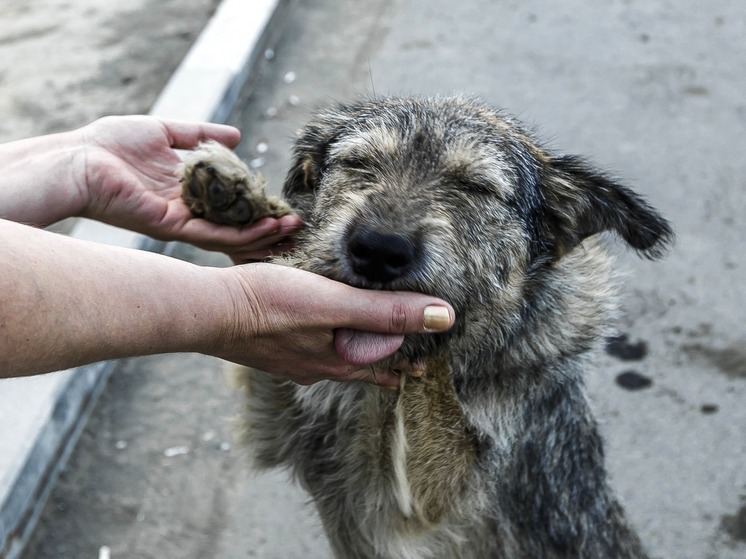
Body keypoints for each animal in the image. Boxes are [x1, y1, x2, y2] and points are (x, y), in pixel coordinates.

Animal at [179, 97, 668, 559]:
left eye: (475, 187)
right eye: (358, 162)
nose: (378, 250)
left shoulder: (420, 506)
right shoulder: (277, 425)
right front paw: (238, 196)